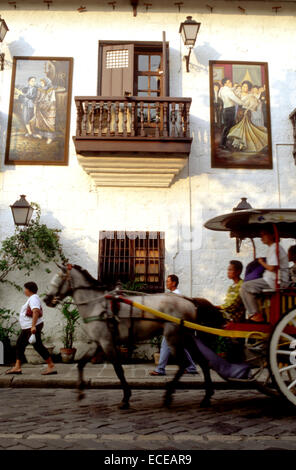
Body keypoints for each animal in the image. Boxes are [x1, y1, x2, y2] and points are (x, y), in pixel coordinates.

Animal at [43, 264, 220, 412]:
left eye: (58, 279)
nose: (46, 299)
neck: (96, 305)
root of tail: (189, 301)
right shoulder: (97, 343)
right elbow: (80, 364)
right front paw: (80, 391)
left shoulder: (107, 342)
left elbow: (118, 369)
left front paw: (125, 399)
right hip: (187, 337)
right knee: (202, 361)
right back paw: (206, 397)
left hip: (173, 337)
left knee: (183, 363)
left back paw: (169, 395)